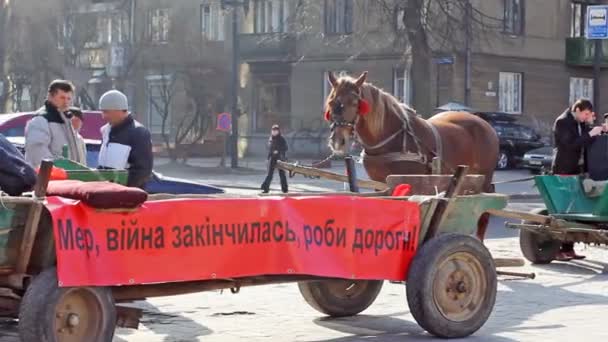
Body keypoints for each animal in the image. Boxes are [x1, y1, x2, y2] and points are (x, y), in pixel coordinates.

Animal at [324, 71, 498, 192]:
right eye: (331, 102)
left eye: (354, 103)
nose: (337, 141)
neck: (394, 138)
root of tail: (482, 121)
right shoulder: (379, 183)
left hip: (484, 176)